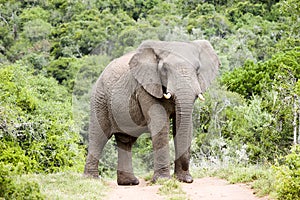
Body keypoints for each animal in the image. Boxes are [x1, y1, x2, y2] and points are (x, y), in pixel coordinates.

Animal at [83, 39, 219, 185]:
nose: (188, 178)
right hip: (99, 100)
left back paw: (129, 182)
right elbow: (160, 124)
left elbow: (185, 126)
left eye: (198, 69)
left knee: (125, 141)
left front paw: (184, 179)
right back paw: (91, 180)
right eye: (165, 69)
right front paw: (163, 180)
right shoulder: (146, 87)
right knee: (98, 137)